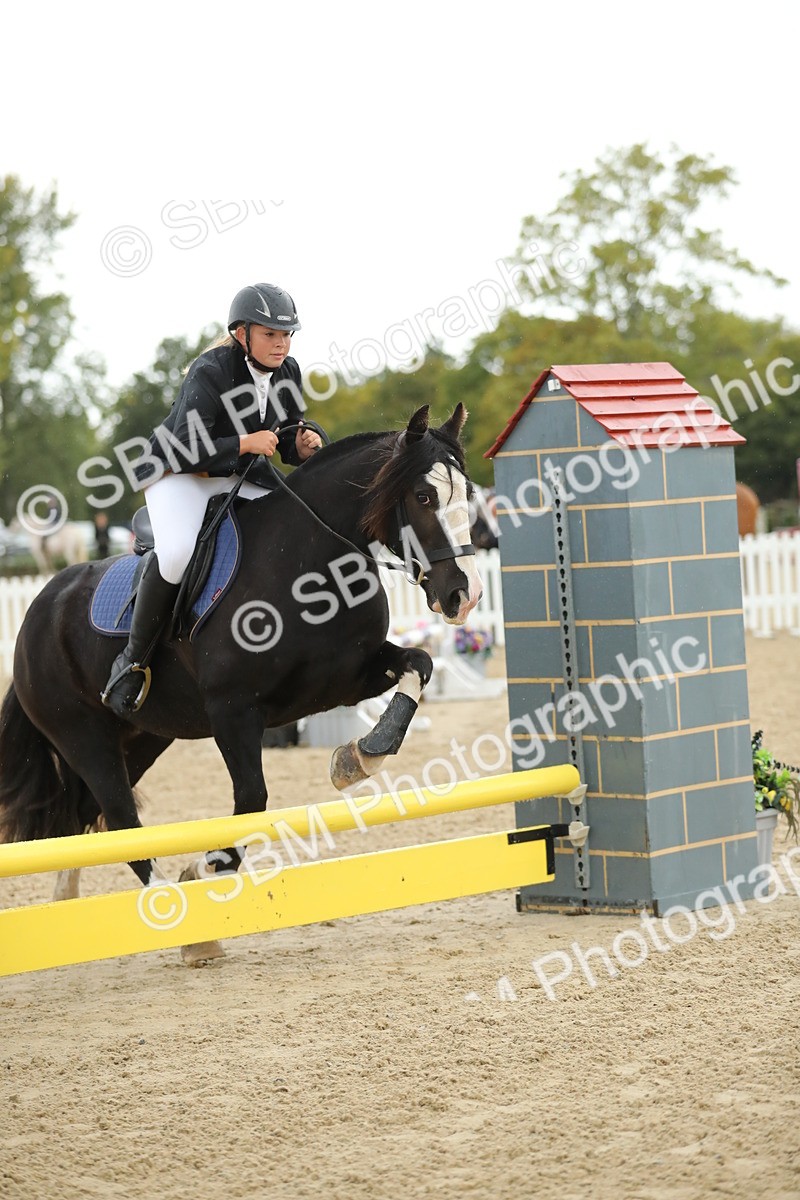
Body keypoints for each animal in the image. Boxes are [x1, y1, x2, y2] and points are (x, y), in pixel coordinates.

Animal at [0, 404, 482, 963]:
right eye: (424, 497)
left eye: (467, 493)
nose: (465, 596)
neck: (308, 558)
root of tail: (38, 607)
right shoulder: (233, 710)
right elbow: (251, 799)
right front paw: (205, 869)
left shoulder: (345, 678)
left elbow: (418, 665)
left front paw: (360, 755)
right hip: (83, 736)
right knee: (119, 817)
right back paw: (180, 923)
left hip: (142, 737)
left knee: (91, 815)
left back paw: (69, 900)